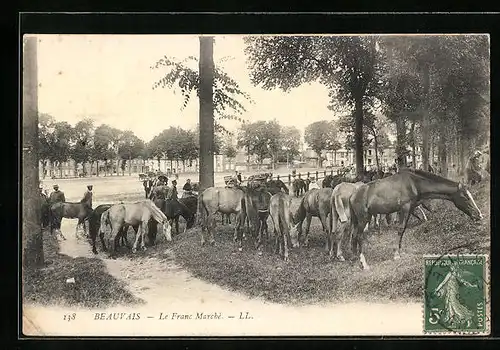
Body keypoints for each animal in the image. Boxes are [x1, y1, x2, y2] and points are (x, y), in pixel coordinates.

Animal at [348, 168, 484, 270]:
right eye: (465, 197)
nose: (479, 215)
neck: (414, 183)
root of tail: (352, 195)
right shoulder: (405, 208)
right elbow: (400, 229)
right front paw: (396, 255)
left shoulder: (411, 208)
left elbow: (407, 227)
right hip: (364, 218)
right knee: (359, 236)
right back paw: (364, 263)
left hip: (358, 220)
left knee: (353, 236)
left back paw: (355, 260)